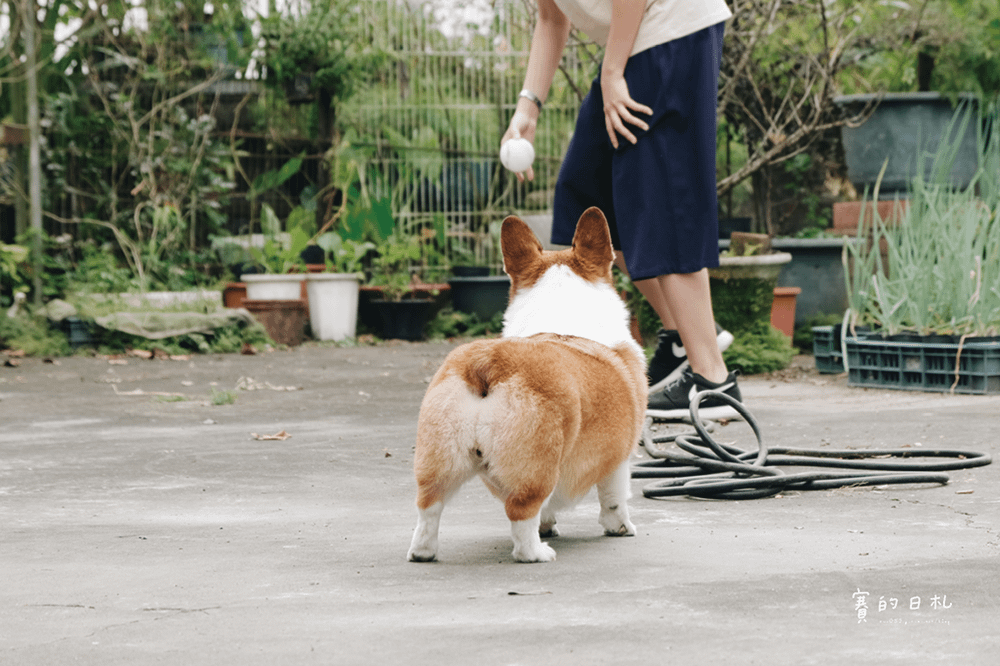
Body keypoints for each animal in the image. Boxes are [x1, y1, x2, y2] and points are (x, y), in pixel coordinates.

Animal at [406, 208, 648, 560]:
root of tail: (488, 363)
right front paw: (620, 528)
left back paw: (423, 551)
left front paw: (549, 525)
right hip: (537, 466)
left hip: (439, 460)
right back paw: (537, 553)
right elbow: (614, 498)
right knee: (522, 511)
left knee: (428, 507)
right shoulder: (619, 456)